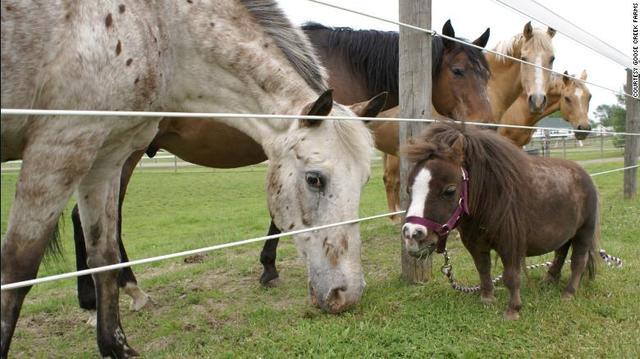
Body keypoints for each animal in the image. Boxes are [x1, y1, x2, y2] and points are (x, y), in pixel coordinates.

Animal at [1, 1, 384, 358]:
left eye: (365, 180)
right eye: (315, 179)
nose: (347, 294)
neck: (162, 30)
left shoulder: (108, 152)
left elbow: (104, 255)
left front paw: (116, 346)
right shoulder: (62, 143)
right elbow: (17, 269)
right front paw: (268, 269)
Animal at [71, 19, 496, 312]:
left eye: (488, 73)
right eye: (458, 70)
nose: (488, 123)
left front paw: (268, 268)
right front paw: (269, 269)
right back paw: (120, 292)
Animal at [402, 122, 596, 320]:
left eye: (449, 190)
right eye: (409, 190)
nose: (412, 235)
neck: (490, 199)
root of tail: (584, 175)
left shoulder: (510, 245)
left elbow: (511, 276)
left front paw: (513, 310)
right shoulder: (475, 244)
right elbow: (483, 268)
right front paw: (487, 298)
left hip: (584, 232)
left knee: (578, 261)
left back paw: (569, 293)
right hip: (565, 234)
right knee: (560, 253)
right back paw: (550, 279)